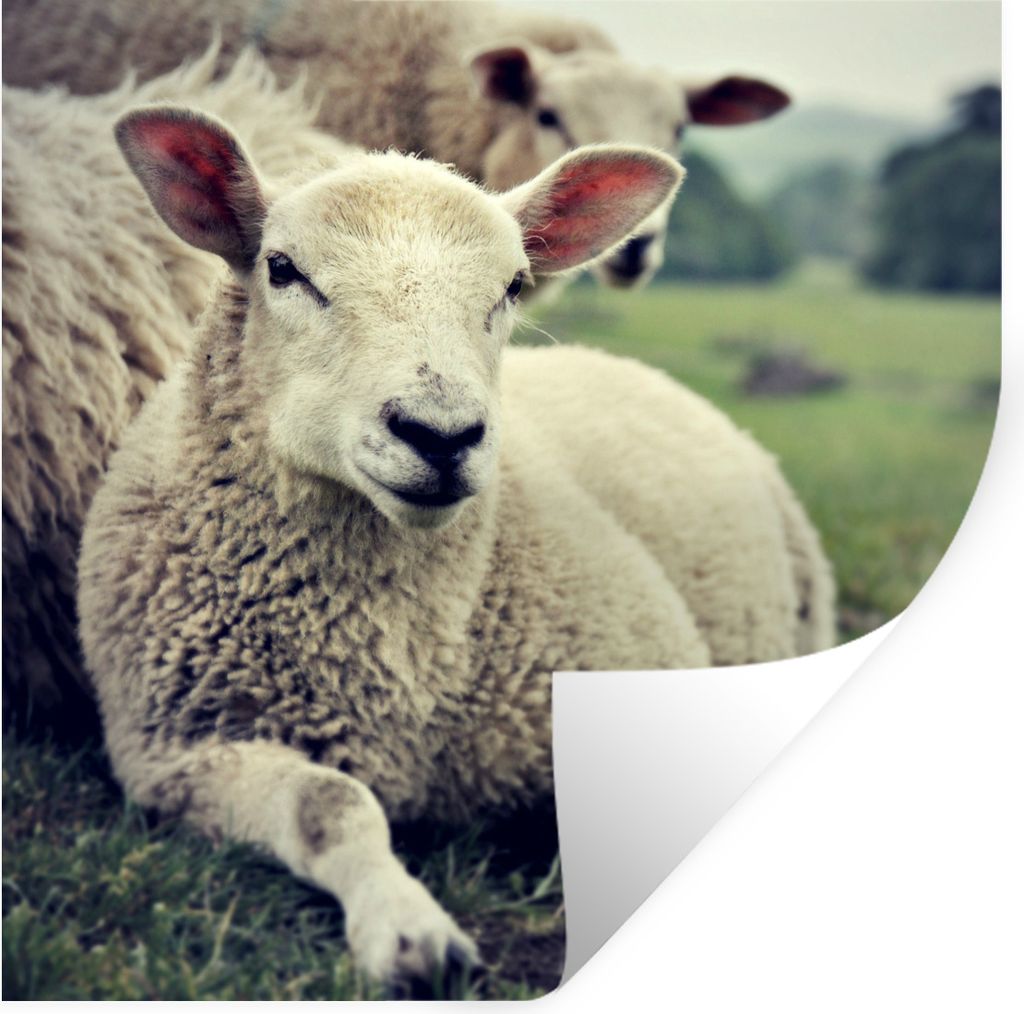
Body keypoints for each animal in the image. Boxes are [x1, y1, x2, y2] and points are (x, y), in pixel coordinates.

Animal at [77, 104, 833, 986]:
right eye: (282, 268)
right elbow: (330, 803)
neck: (390, 660)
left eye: (512, 287)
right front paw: (410, 932)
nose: (441, 435)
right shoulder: (177, 749)